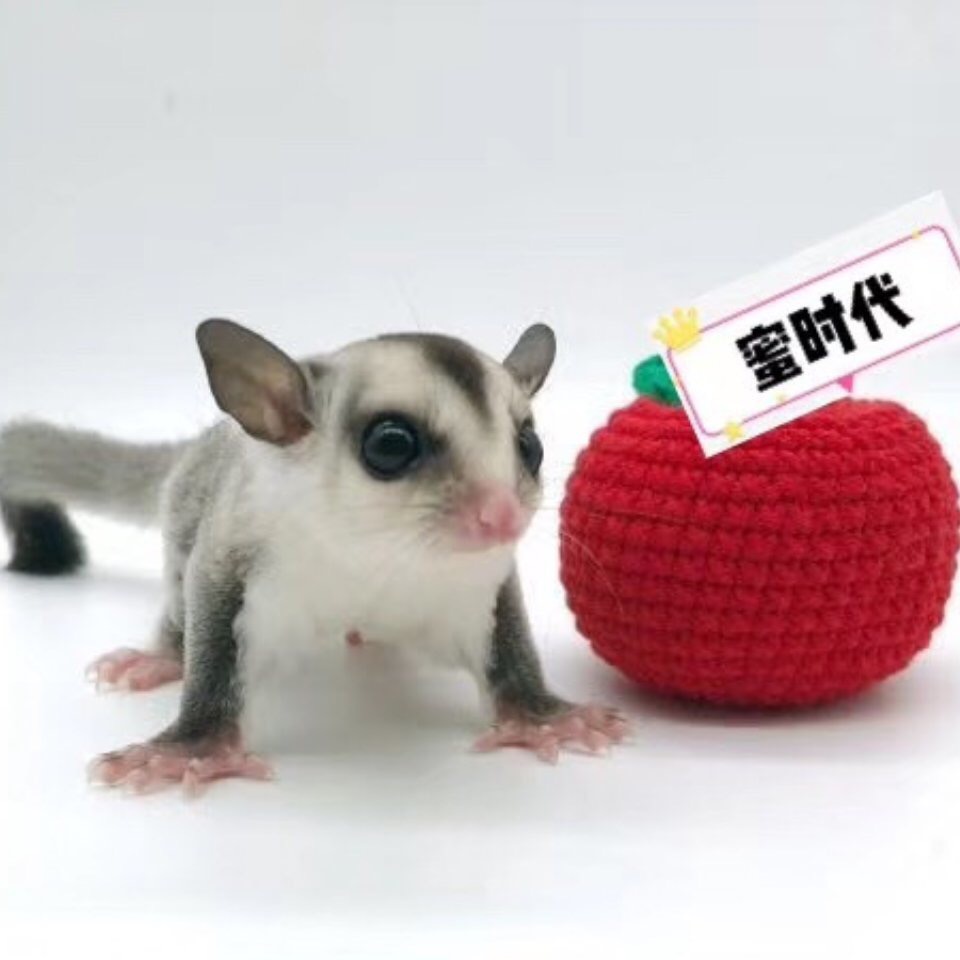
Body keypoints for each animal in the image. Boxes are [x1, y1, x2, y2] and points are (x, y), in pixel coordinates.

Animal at [0, 320, 628, 794]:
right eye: (390, 445)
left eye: (530, 446)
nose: (502, 515)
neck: (377, 553)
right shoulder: (236, 552)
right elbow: (213, 628)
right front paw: (190, 749)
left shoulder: (481, 581)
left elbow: (508, 639)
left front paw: (545, 717)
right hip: (185, 518)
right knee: (180, 599)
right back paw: (159, 655)